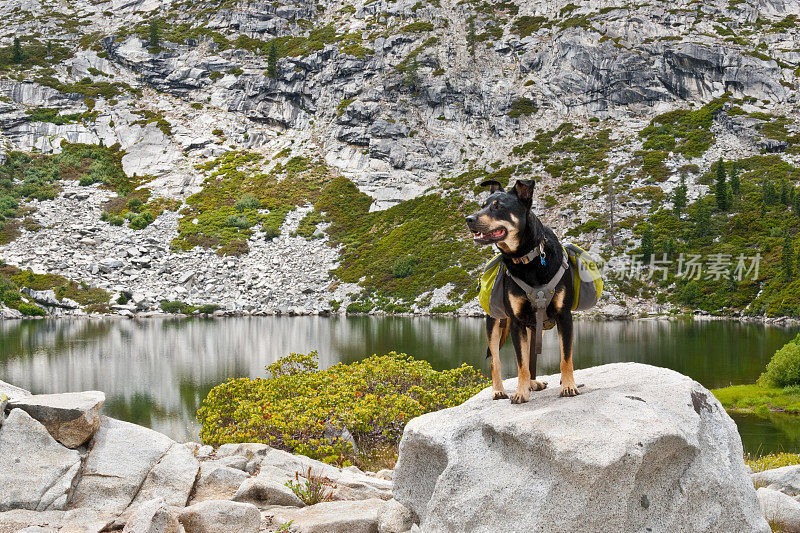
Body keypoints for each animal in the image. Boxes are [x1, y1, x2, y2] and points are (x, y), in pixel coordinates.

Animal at [466, 179, 580, 404]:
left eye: (498, 206)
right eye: (482, 205)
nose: (469, 219)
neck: (527, 259)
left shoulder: (564, 316)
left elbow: (566, 357)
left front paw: (568, 385)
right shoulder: (516, 321)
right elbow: (520, 364)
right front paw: (520, 392)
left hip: (534, 326)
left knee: (530, 357)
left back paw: (533, 383)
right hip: (495, 323)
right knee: (496, 361)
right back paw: (499, 390)